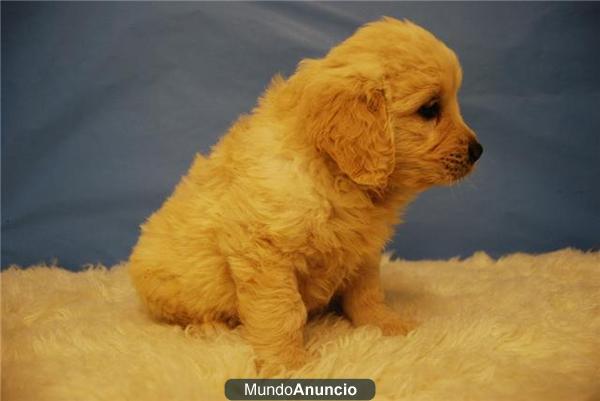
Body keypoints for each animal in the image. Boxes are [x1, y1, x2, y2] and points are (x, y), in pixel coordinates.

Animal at [127, 15, 482, 372]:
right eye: (430, 109)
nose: (478, 151)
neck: (334, 175)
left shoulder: (363, 249)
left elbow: (367, 293)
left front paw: (386, 325)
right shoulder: (265, 252)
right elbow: (282, 311)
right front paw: (289, 363)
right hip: (164, 284)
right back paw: (209, 327)